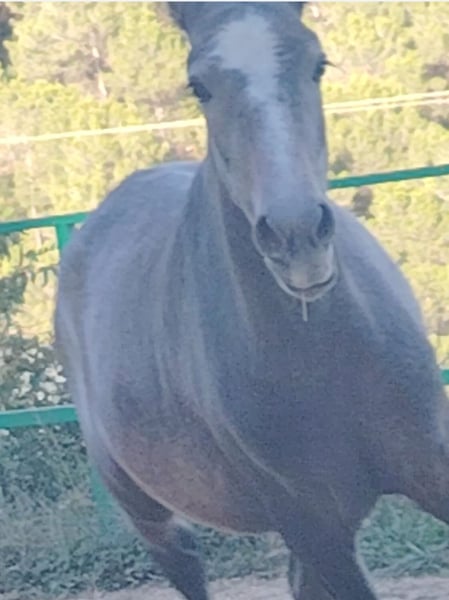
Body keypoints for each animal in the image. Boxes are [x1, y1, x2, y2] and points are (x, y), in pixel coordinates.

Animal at [55, 3, 449, 599]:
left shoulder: (430, 464)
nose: (296, 235)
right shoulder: (314, 526)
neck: (331, 357)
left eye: (318, 64)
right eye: (199, 86)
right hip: (149, 513)